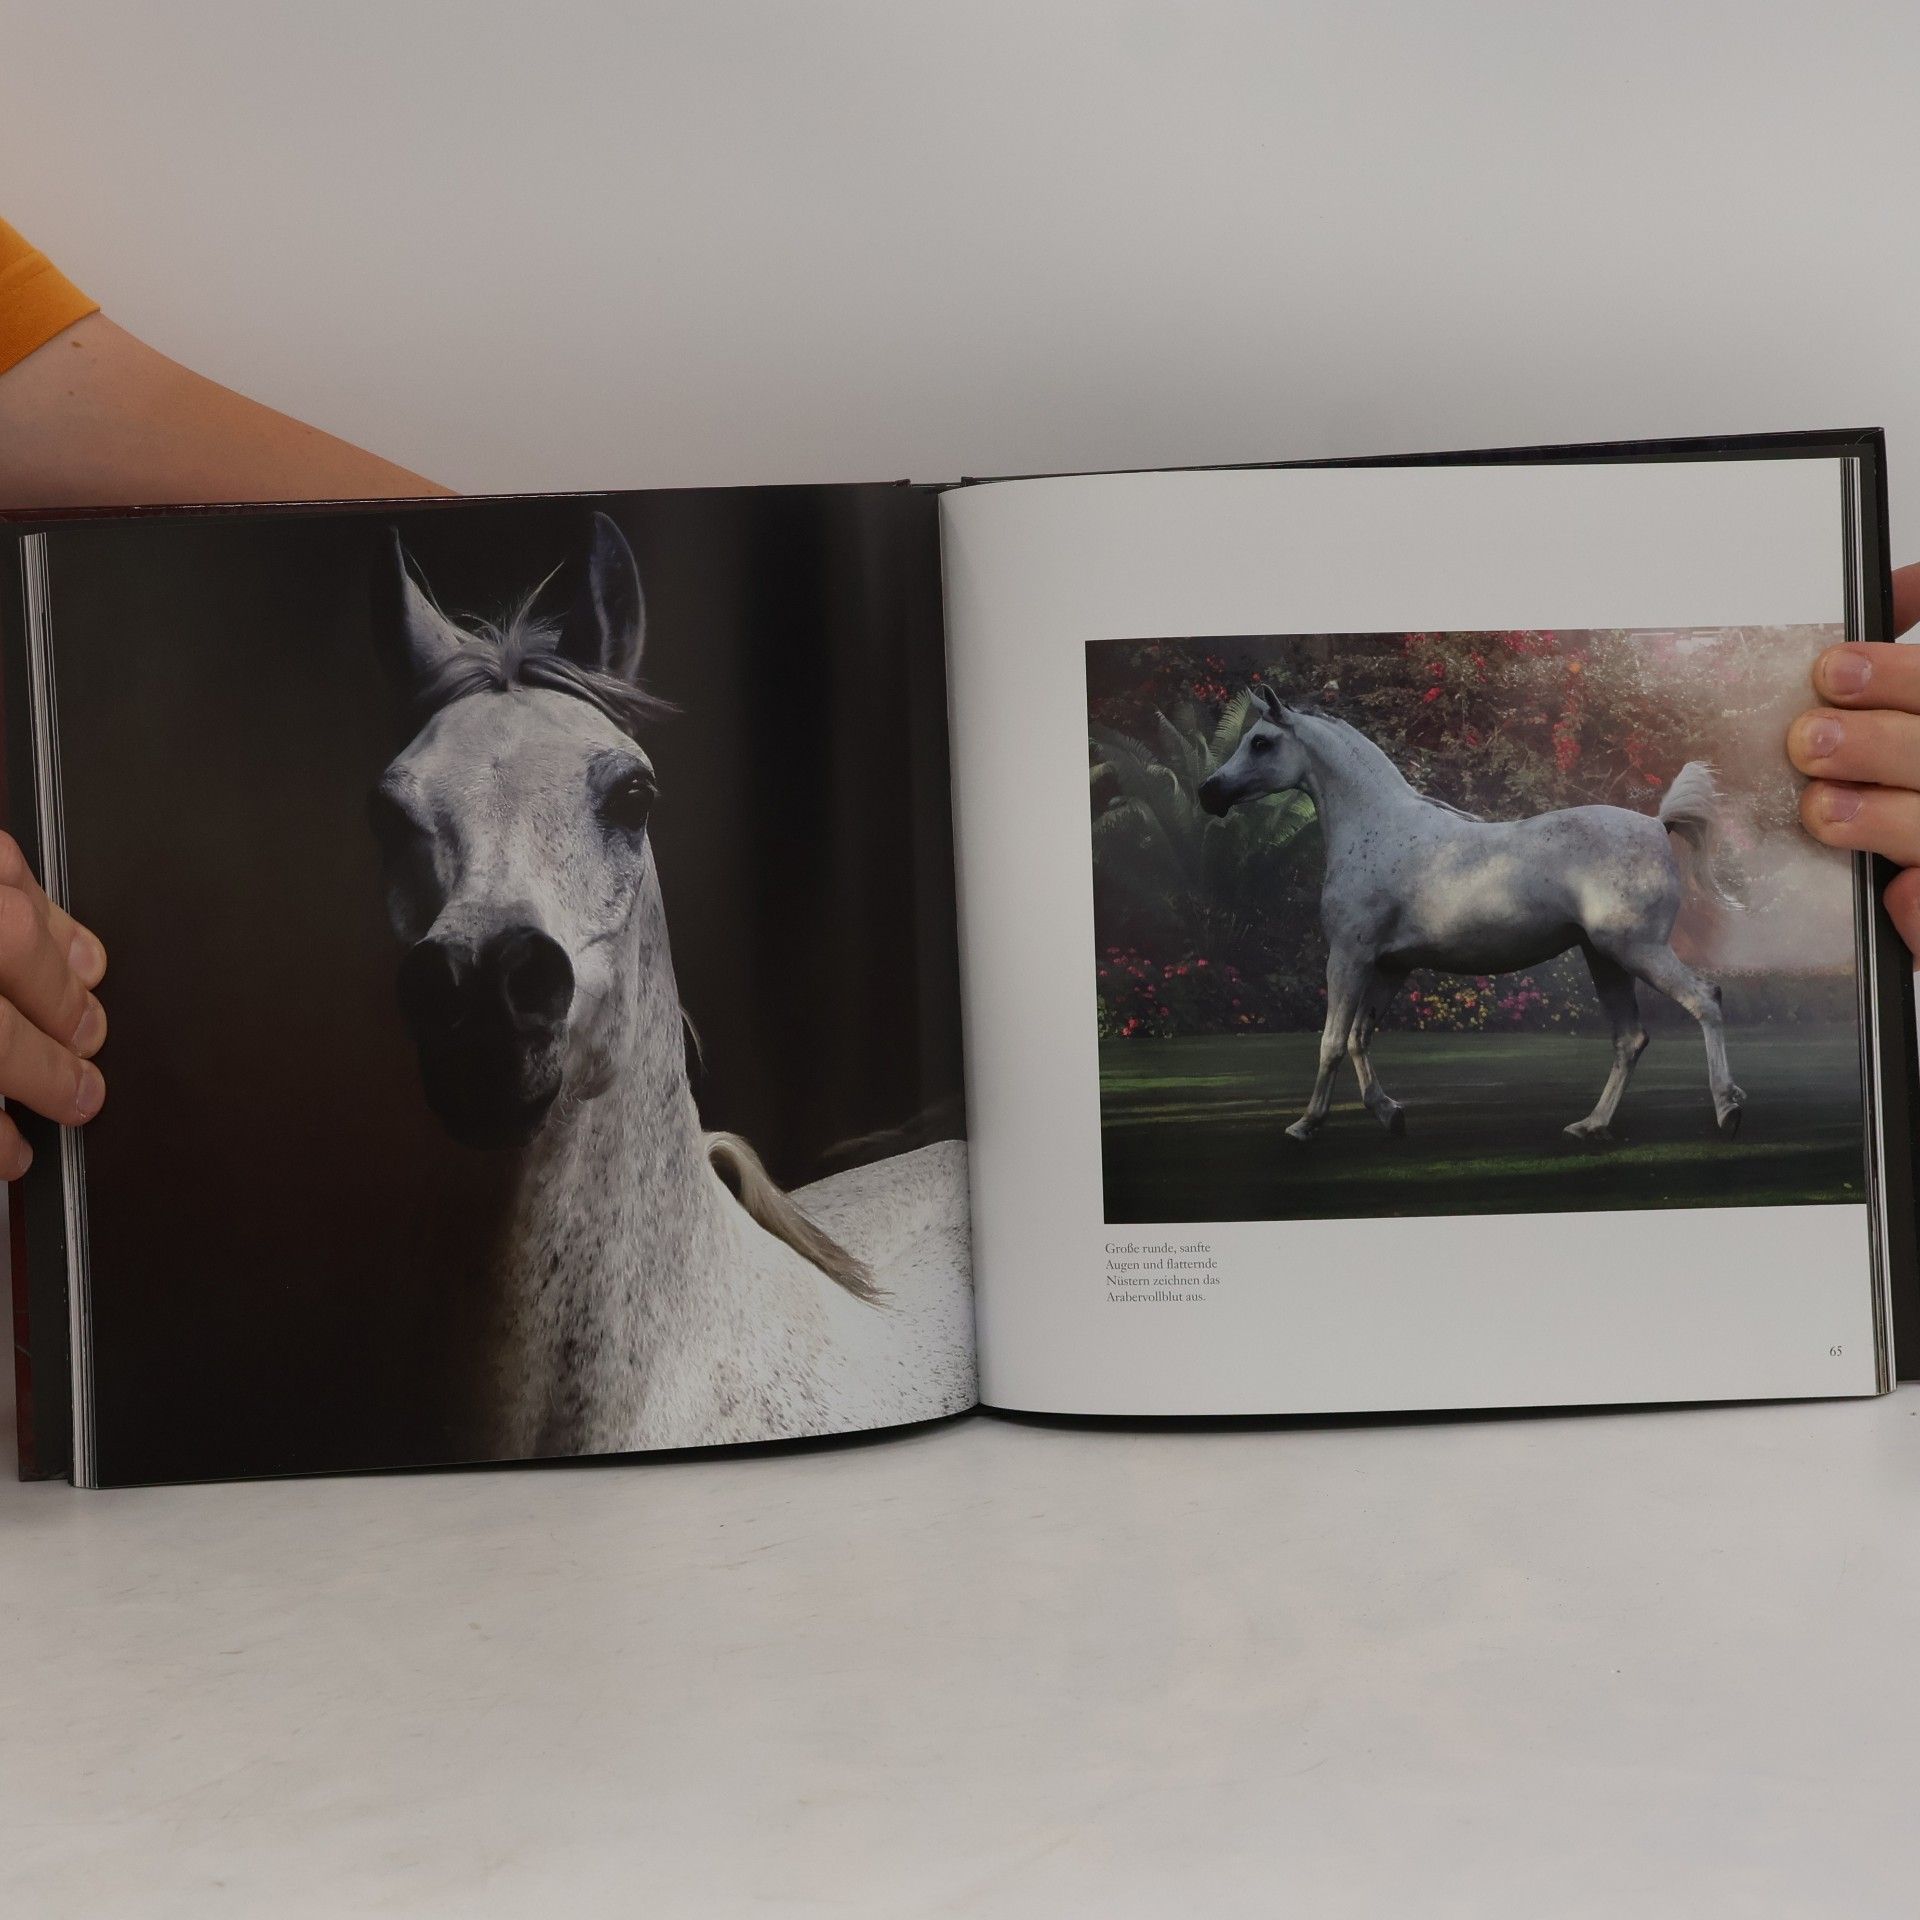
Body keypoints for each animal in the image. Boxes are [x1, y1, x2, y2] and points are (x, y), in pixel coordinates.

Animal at [1196, 685, 1745, 1144]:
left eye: (1261, 742)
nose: (1208, 792)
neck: (1379, 825)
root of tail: (1656, 824)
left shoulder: (1349, 957)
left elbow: (1332, 1041)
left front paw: (1306, 1124)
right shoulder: (1391, 967)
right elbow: (1359, 1038)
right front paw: (1389, 1113)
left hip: (1637, 951)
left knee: (1705, 1000)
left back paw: (1727, 1109)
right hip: (1604, 960)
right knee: (1630, 1039)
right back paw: (1591, 1125)